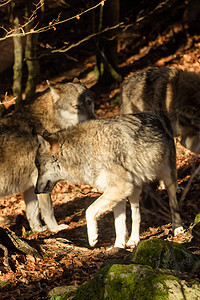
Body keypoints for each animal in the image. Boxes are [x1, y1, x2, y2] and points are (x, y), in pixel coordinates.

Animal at [0, 79, 96, 232]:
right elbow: (48, 210)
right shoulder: (40, 180)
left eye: (89, 102)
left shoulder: (30, 186)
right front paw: (56, 229)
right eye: (76, 106)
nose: (94, 119)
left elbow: (33, 213)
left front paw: (38, 230)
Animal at [34, 113, 183, 248]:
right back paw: (134, 240)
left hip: (168, 179)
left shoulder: (119, 188)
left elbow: (89, 211)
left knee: (173, 204)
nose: (35, 191)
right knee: (136, 215)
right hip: (133, 191)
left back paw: (177, 228)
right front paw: (118, 247)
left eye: (38, 166)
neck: (85, 151)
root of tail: (160, 115)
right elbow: (119, 224)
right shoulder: (118, 193)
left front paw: (93, 237)